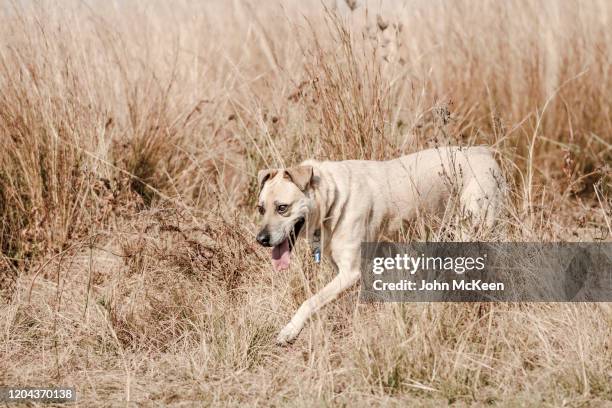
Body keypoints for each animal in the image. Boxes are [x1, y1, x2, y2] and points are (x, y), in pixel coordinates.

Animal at [256, 146, 504, 344]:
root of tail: (484, 152)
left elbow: (310, 302)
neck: (332, 199)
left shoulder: (350, 273)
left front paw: (290, 329)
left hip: (473, 229)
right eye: (260, 208)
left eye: (282, 207)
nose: (261, 240)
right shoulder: (345, 271)